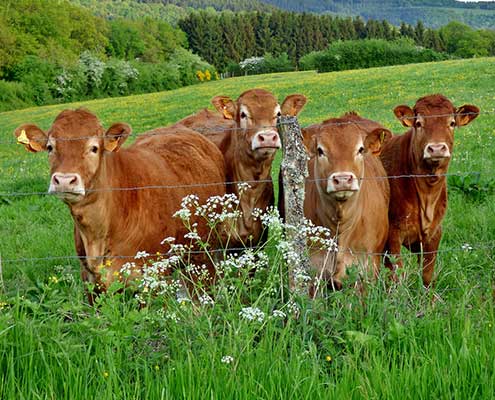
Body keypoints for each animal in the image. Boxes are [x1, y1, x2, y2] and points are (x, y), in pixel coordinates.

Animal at [380, 95, 480, 286]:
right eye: (418, 123)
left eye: (452, 123)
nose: (436, 149)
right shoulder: (392, 235)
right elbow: (397, 274)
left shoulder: (434, 233)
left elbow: (427, 275)